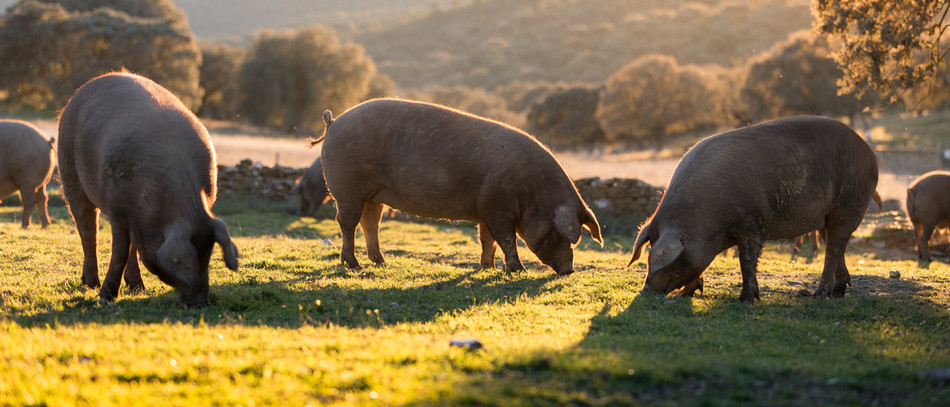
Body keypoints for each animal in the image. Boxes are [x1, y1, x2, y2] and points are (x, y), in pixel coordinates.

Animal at [58, 71, 240, 308]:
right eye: (187, 261)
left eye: (208, 255)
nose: (200, 303)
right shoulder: (117, 209)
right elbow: (119, 252)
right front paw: (105, 298)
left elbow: (130, 248)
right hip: (69, 169)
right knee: (88, 231)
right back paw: (90, 284)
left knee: (130, 244)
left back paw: (137, 287)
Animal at [312, 98, 604, 274]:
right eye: (558, 233)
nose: (569, 270)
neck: (531, 193)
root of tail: (333, 122)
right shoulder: (498, 208)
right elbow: (506, 239)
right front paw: (517, 270)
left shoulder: (485, 208)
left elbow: (487, 240)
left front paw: (487, 268)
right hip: (347, 190)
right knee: (347, 223)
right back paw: (354, 266)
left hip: (374, 195)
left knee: (370, 223)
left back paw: (381, 263)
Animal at [628, 116, 880, 304]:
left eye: (673, 260)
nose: (645, 290)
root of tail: (870, 154)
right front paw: (684, 294)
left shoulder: (751, 224)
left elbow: (746, 261)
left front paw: (746, 300)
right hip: (826, 217)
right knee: (835, 245)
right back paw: (837, 293)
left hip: (848, 204)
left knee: (834, 249)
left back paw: (818, 295)